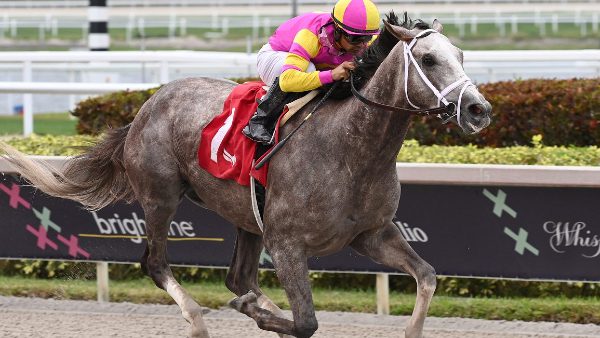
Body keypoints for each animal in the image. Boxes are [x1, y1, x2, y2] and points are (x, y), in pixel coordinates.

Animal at [0, 13, 490, 338]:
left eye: (461, 54)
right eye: (428, 59)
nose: (478, 109)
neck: (353, 150)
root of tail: (146, 105)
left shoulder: (371, 235)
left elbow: (427, 276)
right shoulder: (287, 243)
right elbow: (306, 321)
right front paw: (262, 314)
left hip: (246, 216)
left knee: (238, 279)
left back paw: (250, 301)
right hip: (161, 196)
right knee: (157, 263)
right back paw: (200, 320)